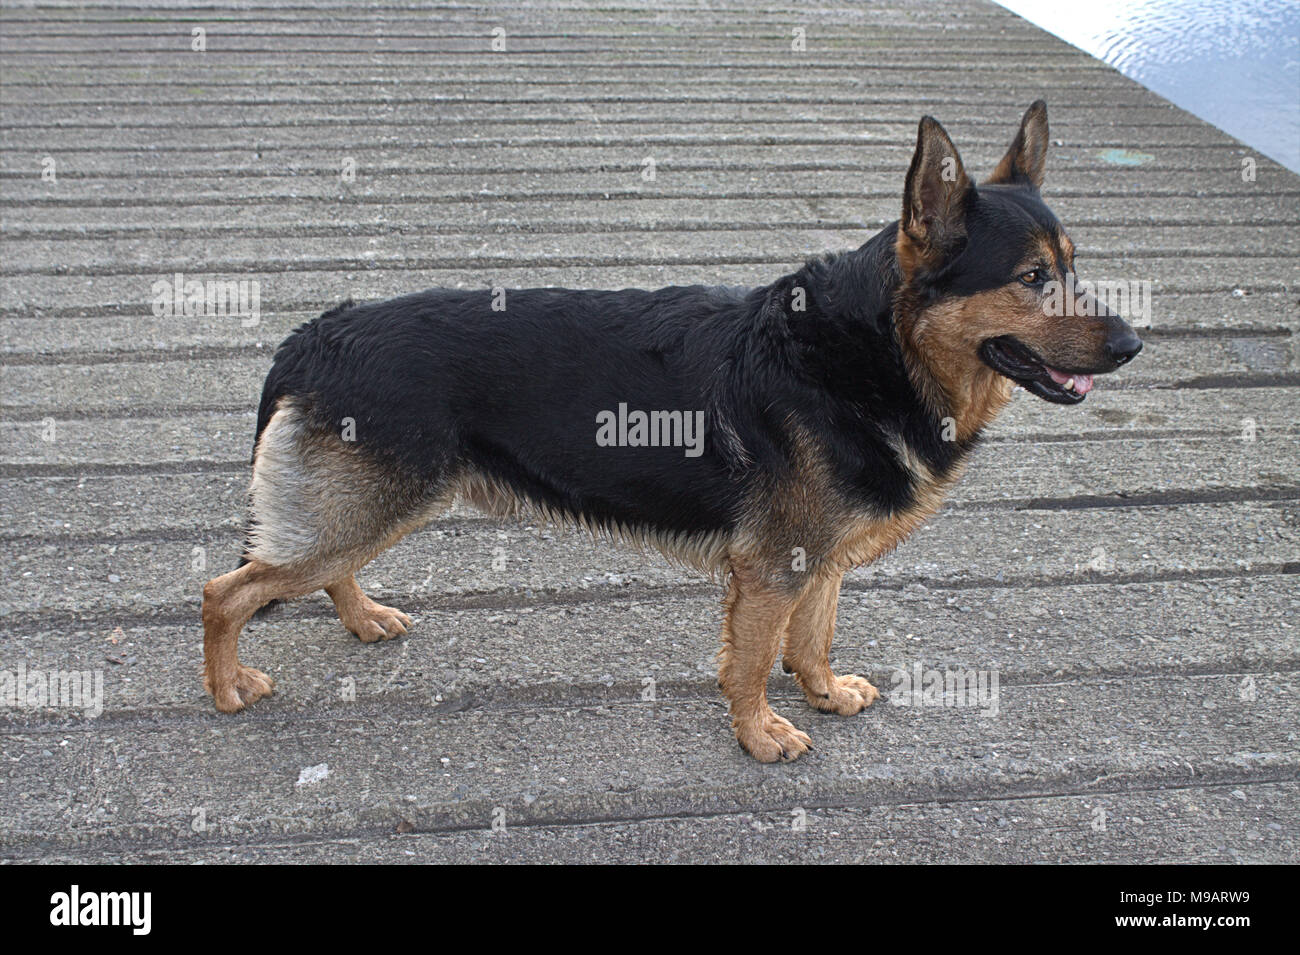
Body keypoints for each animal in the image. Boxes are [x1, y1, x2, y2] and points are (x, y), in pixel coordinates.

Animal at [200, 102, 1138, 764]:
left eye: (1073, 268)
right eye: (1032, 277)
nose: (1135, 343)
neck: (874, 350)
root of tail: (315, 332)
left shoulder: (817, 563)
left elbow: (812, 639)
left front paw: (824, 693)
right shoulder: (770, 571)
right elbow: (753, 661)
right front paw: (759, 735)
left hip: (372, 507)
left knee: (324, 570)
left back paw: (362, 619)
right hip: (362, 508)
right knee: (226, 592)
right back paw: (226, 688)